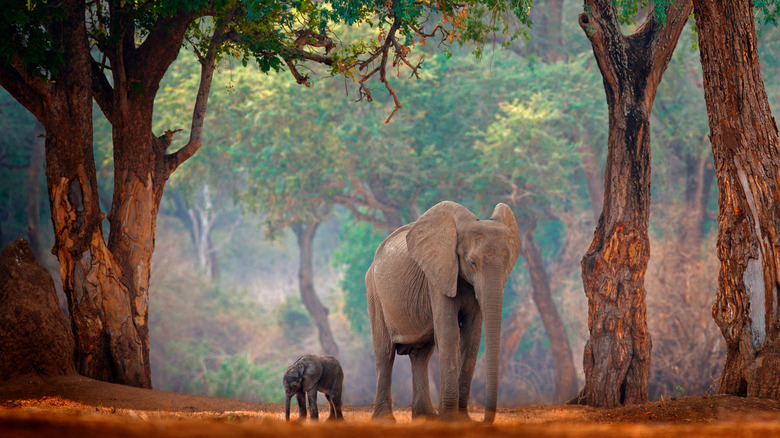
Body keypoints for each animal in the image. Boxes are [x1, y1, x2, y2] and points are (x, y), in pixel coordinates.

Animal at [364, 200, 516, 422]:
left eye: (508, 263)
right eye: (472, 262)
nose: (483, 421)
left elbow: (471, 336)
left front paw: (462, 420)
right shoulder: (437, 278)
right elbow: (449, 332)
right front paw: (450, 419)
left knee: (421, 355)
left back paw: (425, 417)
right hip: (374, 292)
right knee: (385, 352)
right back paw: (385, 421)